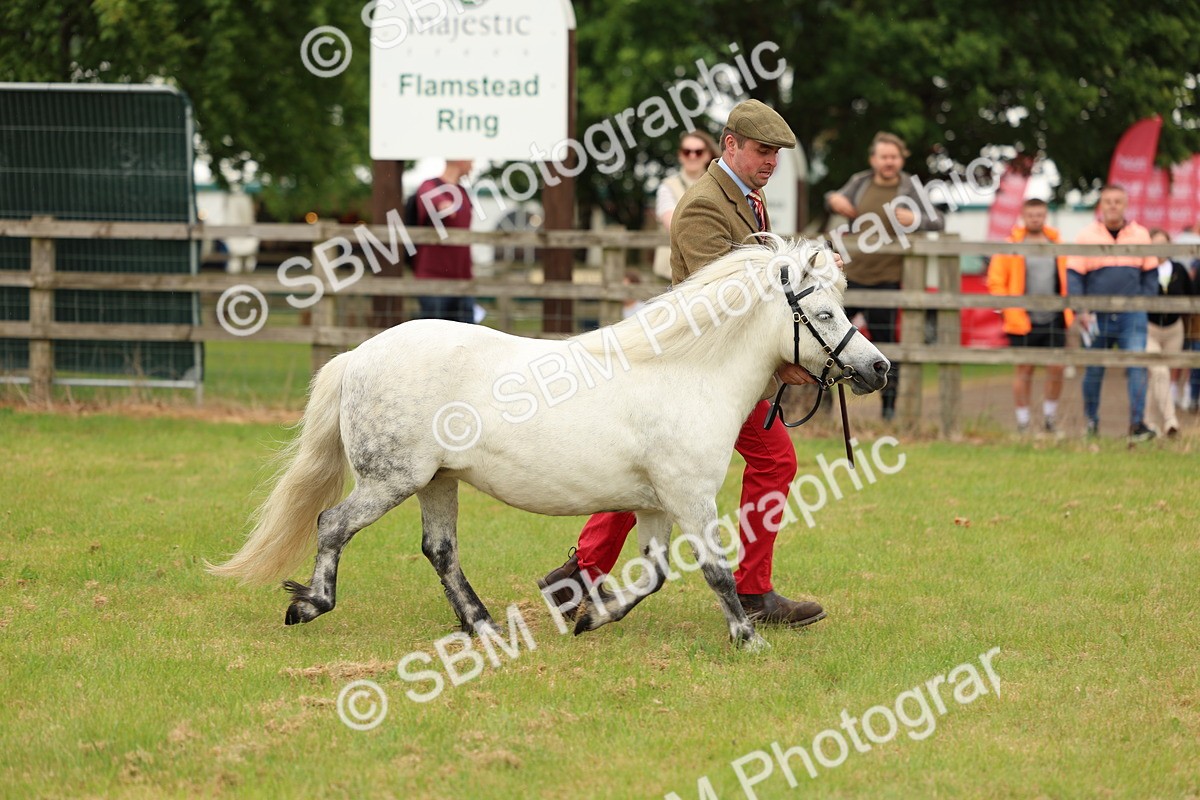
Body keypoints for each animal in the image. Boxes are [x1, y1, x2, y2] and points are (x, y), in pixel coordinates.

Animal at [208, 235, 890, 650]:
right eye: (824, 315)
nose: (878, 368)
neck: (685, 374)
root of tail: (359, 355)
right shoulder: (691, 499)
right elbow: (718, 573)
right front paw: (748, 638)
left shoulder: (655, 506)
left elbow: (652, 576)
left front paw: (591, 615)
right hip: (391, 480)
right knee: (332, 524)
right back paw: (310, 604)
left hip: (436, 482)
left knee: (440, 551)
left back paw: (483, 626)